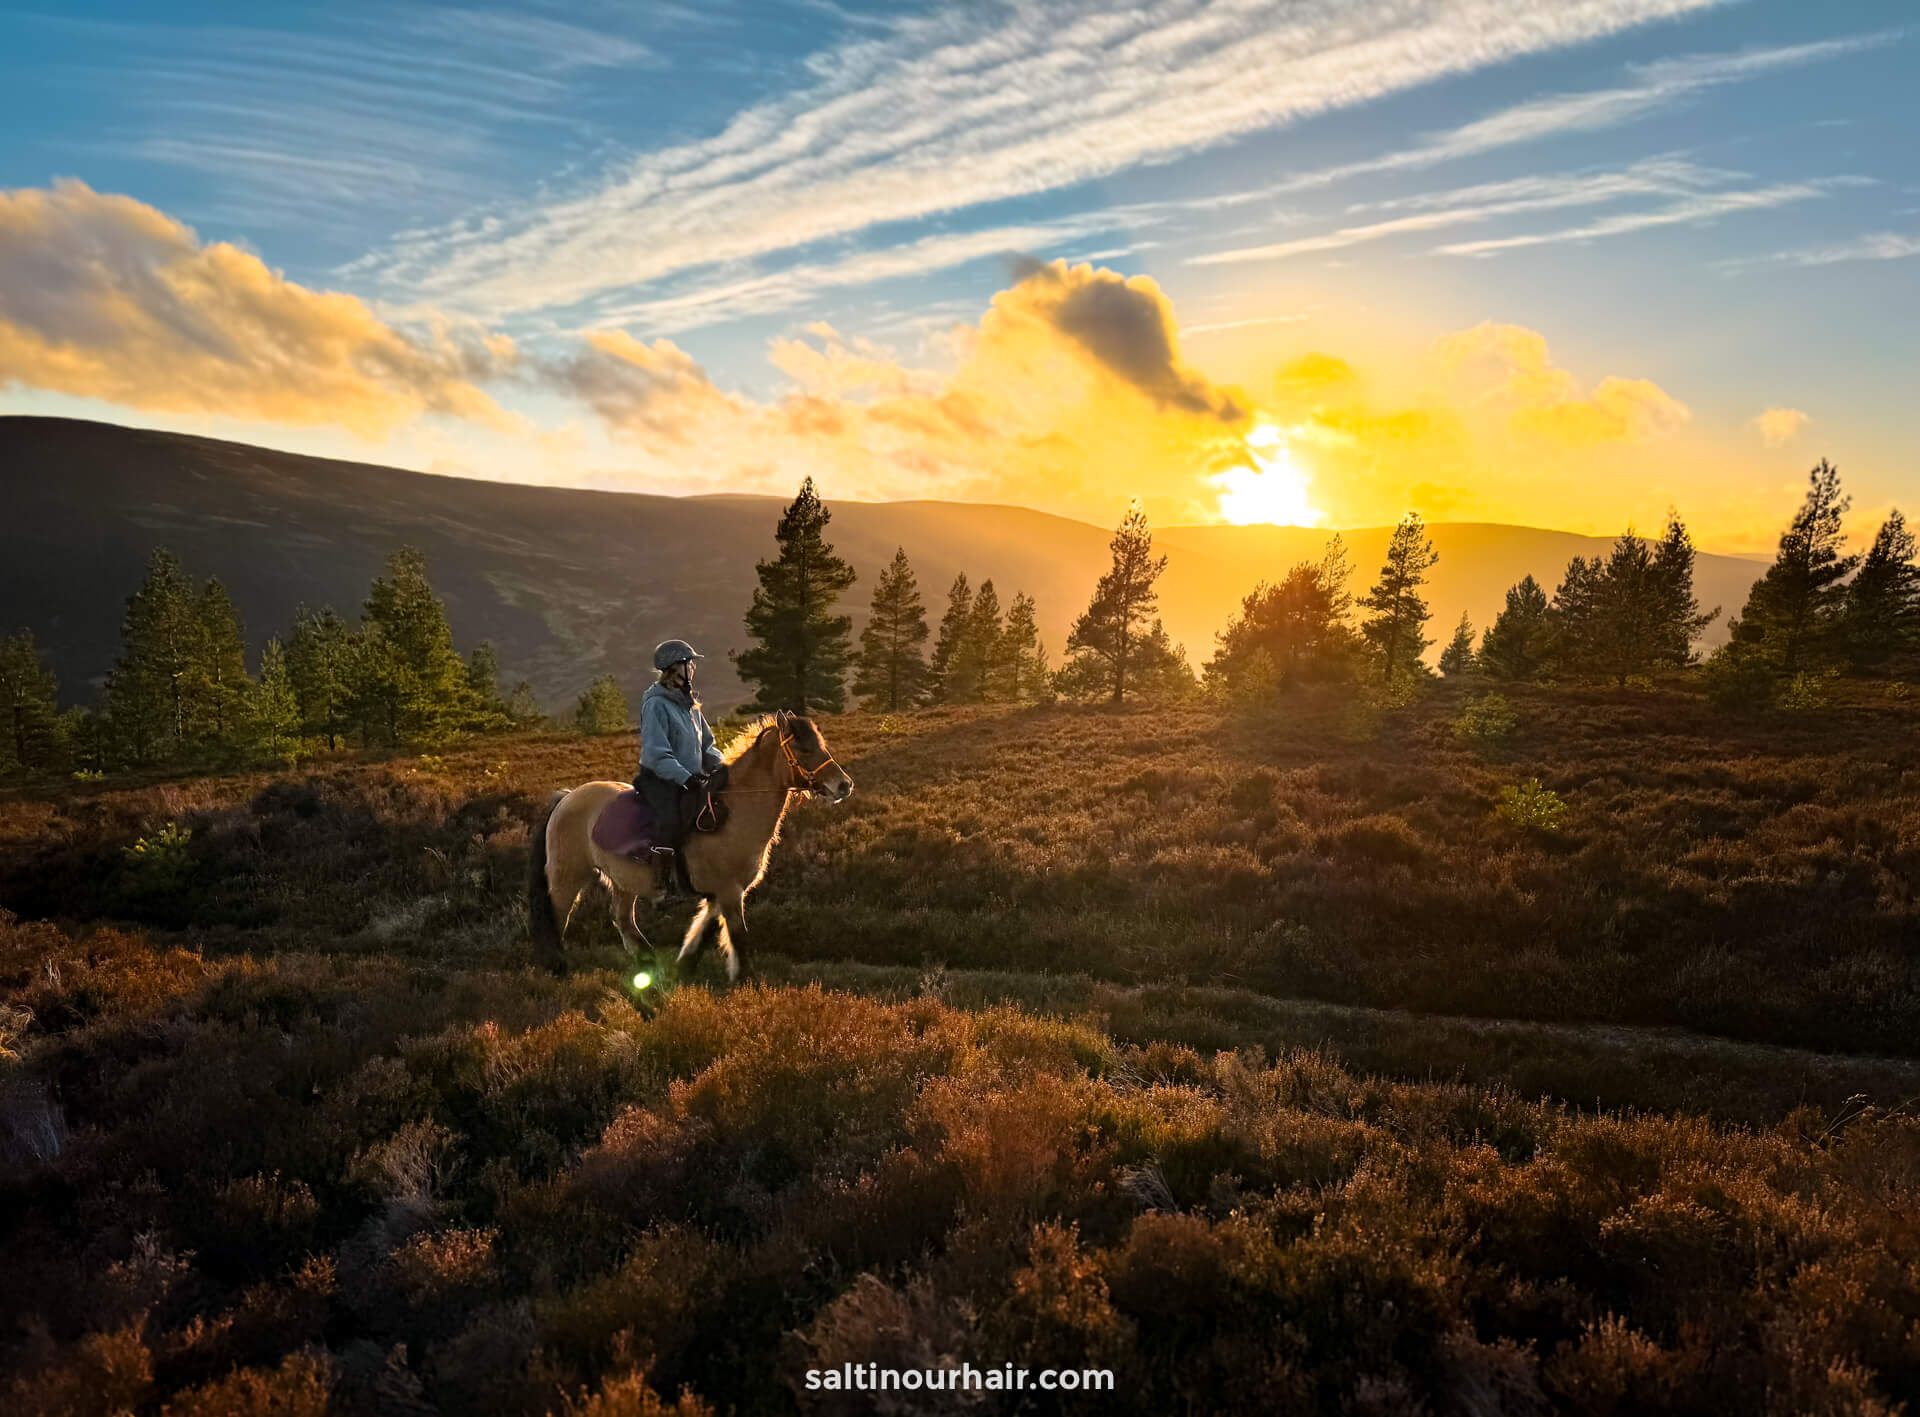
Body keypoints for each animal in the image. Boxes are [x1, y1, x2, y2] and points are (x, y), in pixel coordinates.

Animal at [529, 710, 852, 975]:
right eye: (804, 748)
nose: (844, 785)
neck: (733, 814)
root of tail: (566, 798)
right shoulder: (729, 891)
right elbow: (738, 937)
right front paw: (747, 984)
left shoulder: (720, 894)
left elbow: (703, 931)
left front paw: (683, 967)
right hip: (567, 876)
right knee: (558, 916)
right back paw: (558, 966)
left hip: (623, 881)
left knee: (623, 919)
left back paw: (648, 962)